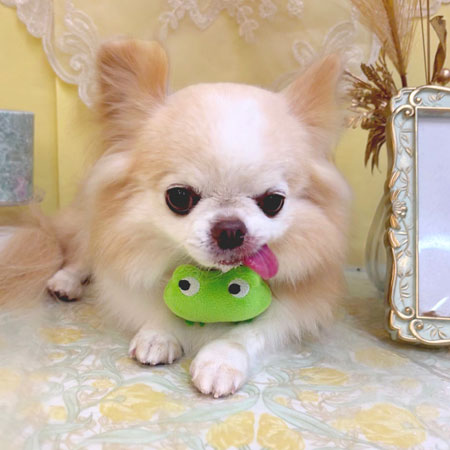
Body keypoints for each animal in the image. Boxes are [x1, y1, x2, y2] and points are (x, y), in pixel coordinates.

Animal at [0, 40, 351, 397]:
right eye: (179, 197)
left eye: (273, 202)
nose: (230, 229)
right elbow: (154, 301)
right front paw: (158, 334)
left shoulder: (300, 303)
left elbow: (251, 330)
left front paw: (221, 360)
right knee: (82, 254)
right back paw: (66, 281)